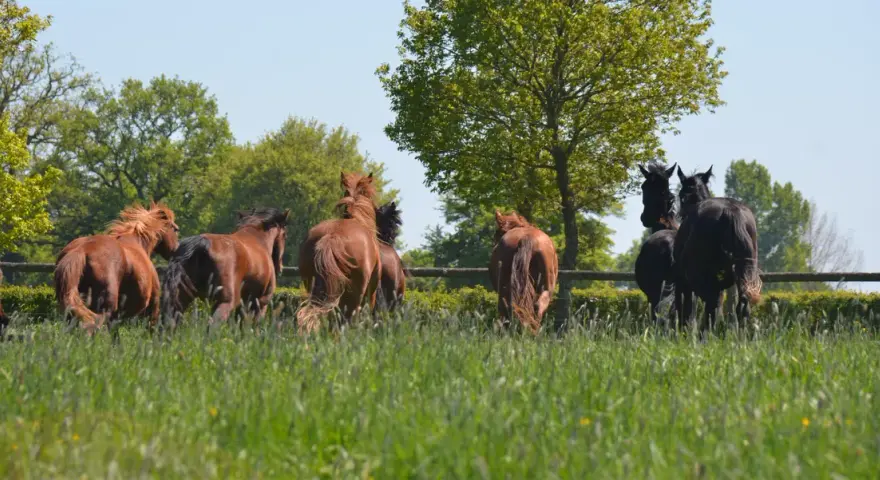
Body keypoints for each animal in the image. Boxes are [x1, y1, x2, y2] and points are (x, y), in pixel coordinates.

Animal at [54, 202, 179, 334]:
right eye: (175, 229)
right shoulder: (152, 307)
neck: (138, 243)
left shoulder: (115, 318)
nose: (176, 249)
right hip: (104, 308)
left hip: (73, 309)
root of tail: (82, 249)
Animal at [161, 208, 289, 328]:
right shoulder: (261, 303)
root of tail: (202, 244)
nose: (280, 268)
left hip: (181, 300)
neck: (257, 239)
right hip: (224, 303)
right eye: (284, 235)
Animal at [673, 166, 762, 332]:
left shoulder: (683, 283)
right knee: (741, 306)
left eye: (681, 195)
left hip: (698, 280)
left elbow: (686, 310)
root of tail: (731, 211)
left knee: (710, 306)